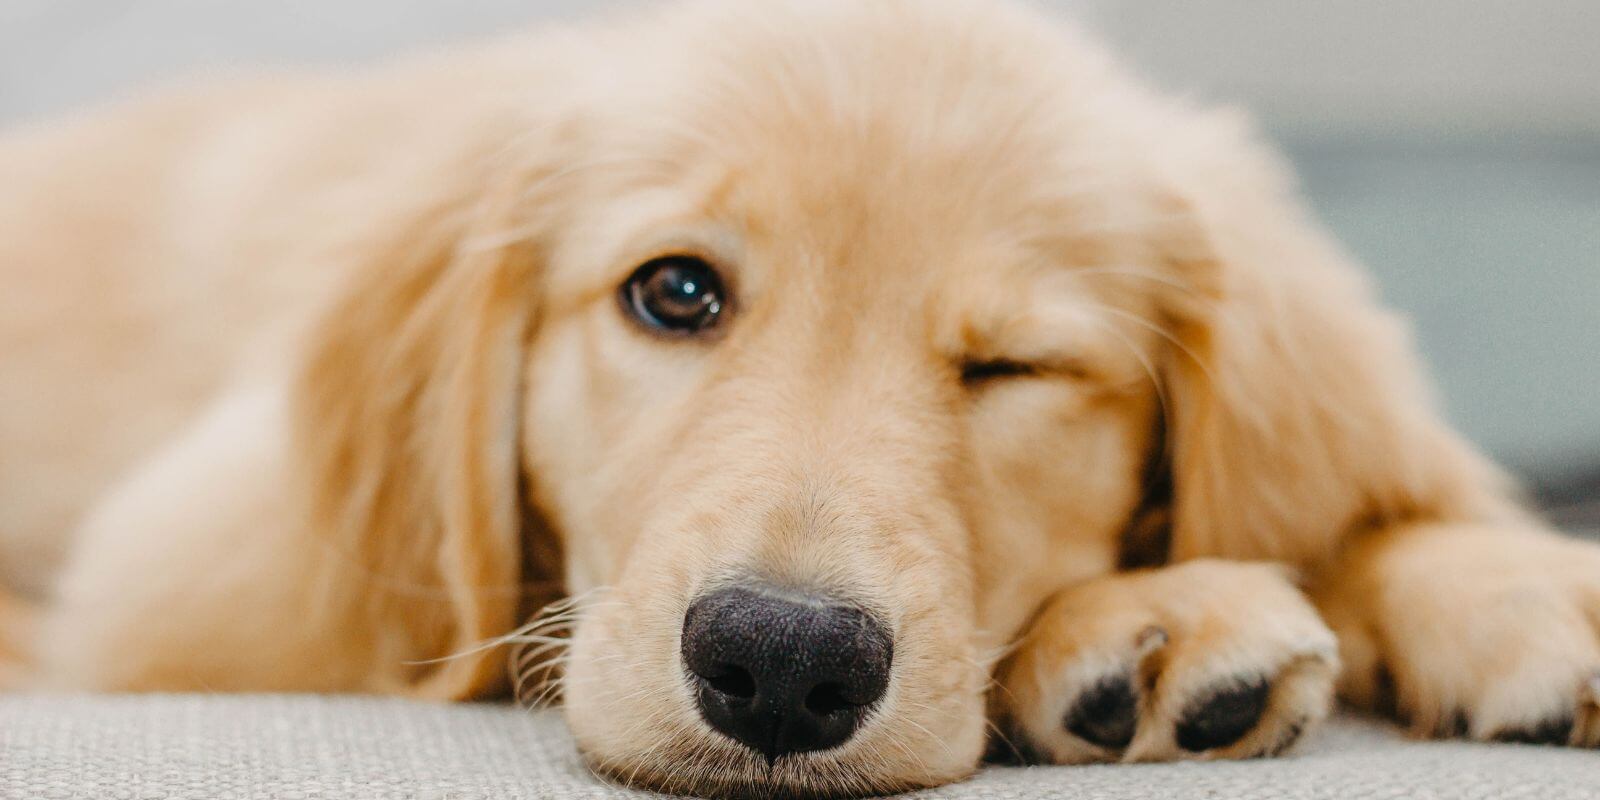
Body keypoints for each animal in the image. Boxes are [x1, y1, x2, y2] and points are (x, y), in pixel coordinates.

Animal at [3, 0, 1600, 793]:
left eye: (1013, 367)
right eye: (675, 293)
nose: (778, 662)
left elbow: (1371, 507)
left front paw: (1514, 583)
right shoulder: (191, 591)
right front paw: (1154, 613)